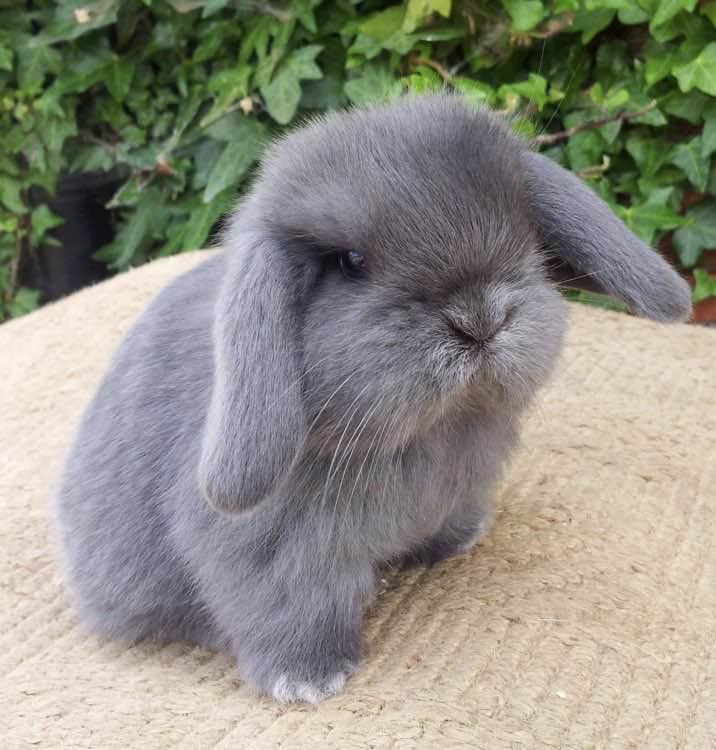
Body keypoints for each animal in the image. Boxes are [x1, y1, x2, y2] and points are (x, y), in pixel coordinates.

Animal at [53, 94, 692, 704]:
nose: (479, 320)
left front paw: (459, 539)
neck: (429, 435)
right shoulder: (275, 557)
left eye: (523, 226)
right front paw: (305, 682)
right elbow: (289, 610)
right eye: (350, 263)